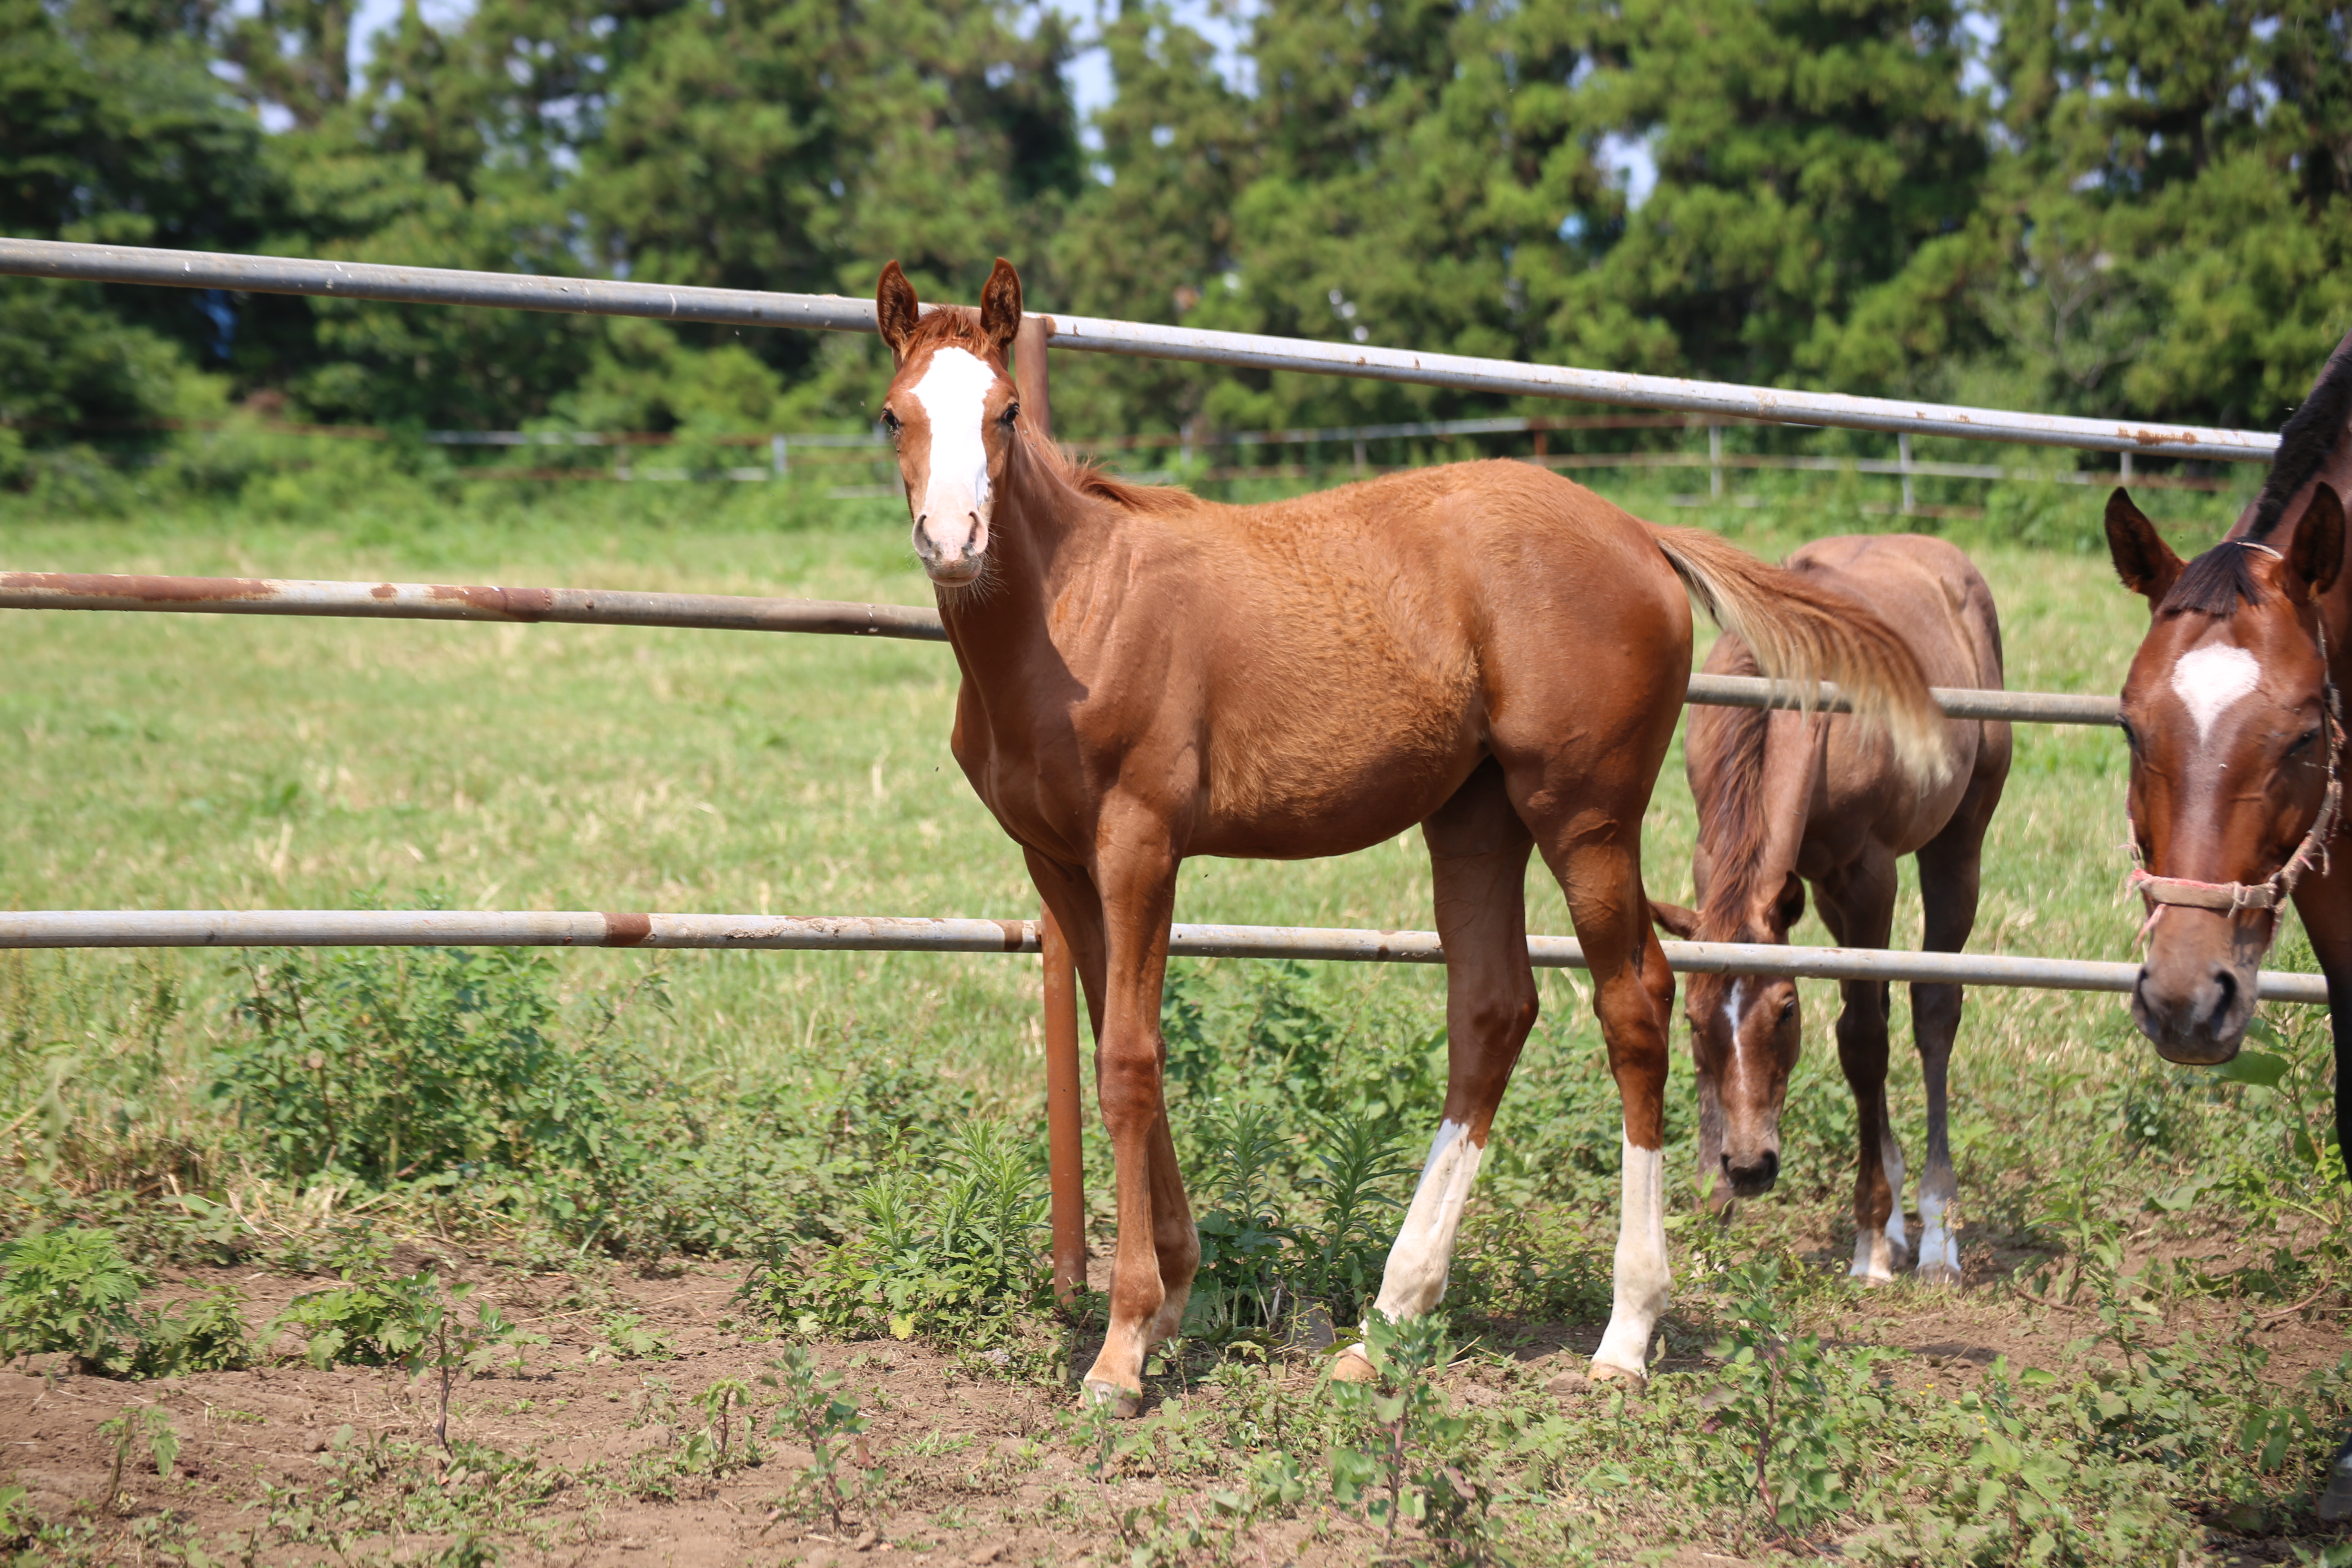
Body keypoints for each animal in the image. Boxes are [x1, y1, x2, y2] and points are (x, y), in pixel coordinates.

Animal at [884, 257, 1947, 1410]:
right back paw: (1390, 1317)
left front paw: (1124, 1346)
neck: (1077, 611)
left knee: (1634, 1003)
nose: (954, 542)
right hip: (1475, 817)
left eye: (1006, 411)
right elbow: (1123, 1048)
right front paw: (1172, 1296)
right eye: (893, 413)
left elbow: (1127, 1062)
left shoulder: (1140, 844)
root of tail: (1640, 535)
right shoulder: (1059, 860)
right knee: (1493, 1009)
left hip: (1583, 816)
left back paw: (1624, 1332)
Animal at [1646, 536, 2013, 1288]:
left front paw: (1870, 1237)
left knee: (1933, 1010)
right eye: (1692, 1019)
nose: (1749, 1167)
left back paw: (1935, 1232)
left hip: (1957, 842)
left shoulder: (1868, 876)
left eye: (1787, 1012)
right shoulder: (1719, 863)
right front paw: (1712, 1202)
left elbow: (1863, 1040)